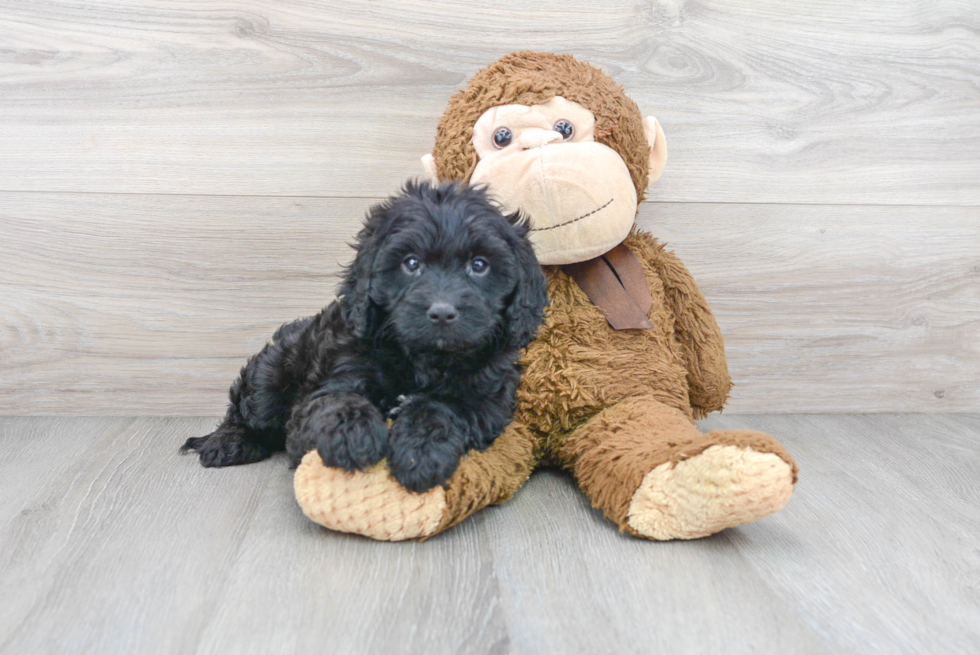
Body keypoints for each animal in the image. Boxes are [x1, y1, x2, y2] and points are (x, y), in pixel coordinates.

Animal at [180, 181, 548, 492]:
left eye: (480, 265)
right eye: (410, 263)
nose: (442, 313)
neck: (425, 359)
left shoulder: (487, 403)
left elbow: (444, 408)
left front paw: (421, 452)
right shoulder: (332, 376)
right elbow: (335, 401)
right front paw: (351, 436)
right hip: (270, 375)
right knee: (247, 409)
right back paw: (228, 443)